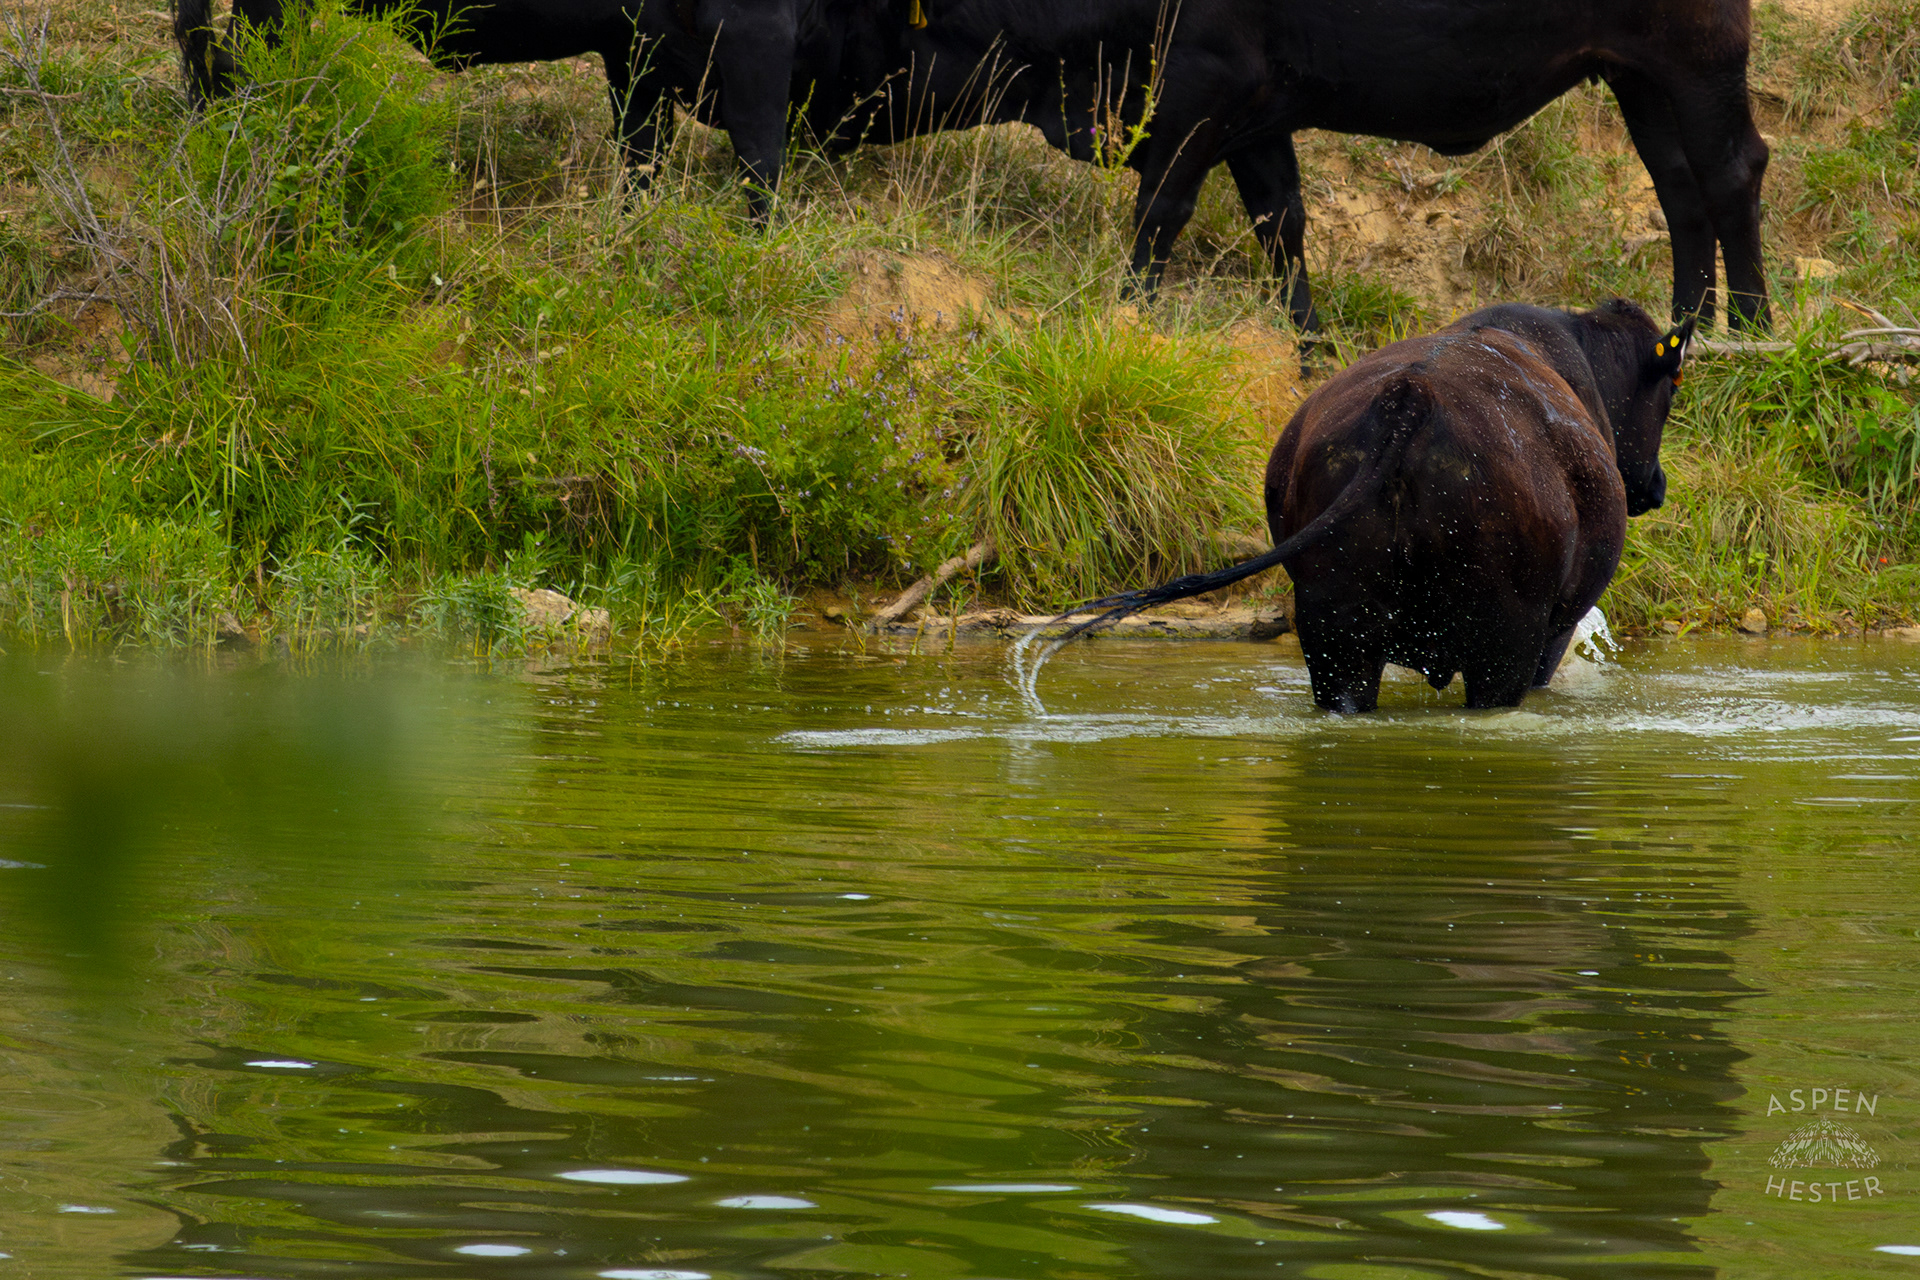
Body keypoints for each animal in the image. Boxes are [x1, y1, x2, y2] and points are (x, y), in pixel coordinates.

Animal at [1036, 299, 1694, 713]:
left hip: (1336, 634)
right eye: (1673, 387)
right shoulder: (1551, 639)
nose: (1657, 485)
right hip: (1504, 642)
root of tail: (1412, 395)